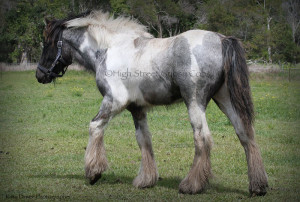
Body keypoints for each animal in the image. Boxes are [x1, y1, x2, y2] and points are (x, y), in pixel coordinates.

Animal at [35, 11, 268, 196]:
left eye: (48, 43)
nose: (40, 75)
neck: (109, 50)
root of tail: (221, 39)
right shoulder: (136, 109)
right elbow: (144, 139)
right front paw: (145, 180)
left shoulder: (114, 101)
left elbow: (95, 126)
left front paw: (93, 173)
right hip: (225, 100)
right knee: (246, 134)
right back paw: (258, 186)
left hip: (195, 102)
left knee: (203, 138)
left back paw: (191, 185)